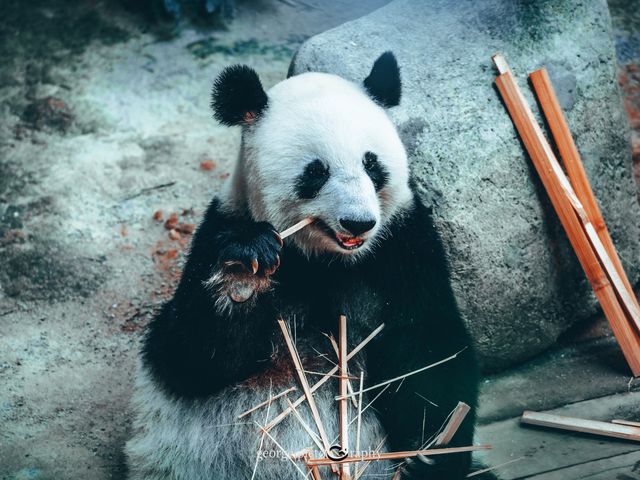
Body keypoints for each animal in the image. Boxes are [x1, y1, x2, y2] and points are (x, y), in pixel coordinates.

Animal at [125, 50, 488, 478]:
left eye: (372, 164)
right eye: (316, 172)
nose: (358, 222)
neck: (325, 259)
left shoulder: (402, 247)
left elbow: (428, 348)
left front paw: (430, 453)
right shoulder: (221, 225)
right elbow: (187, 356)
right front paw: (243, 271)